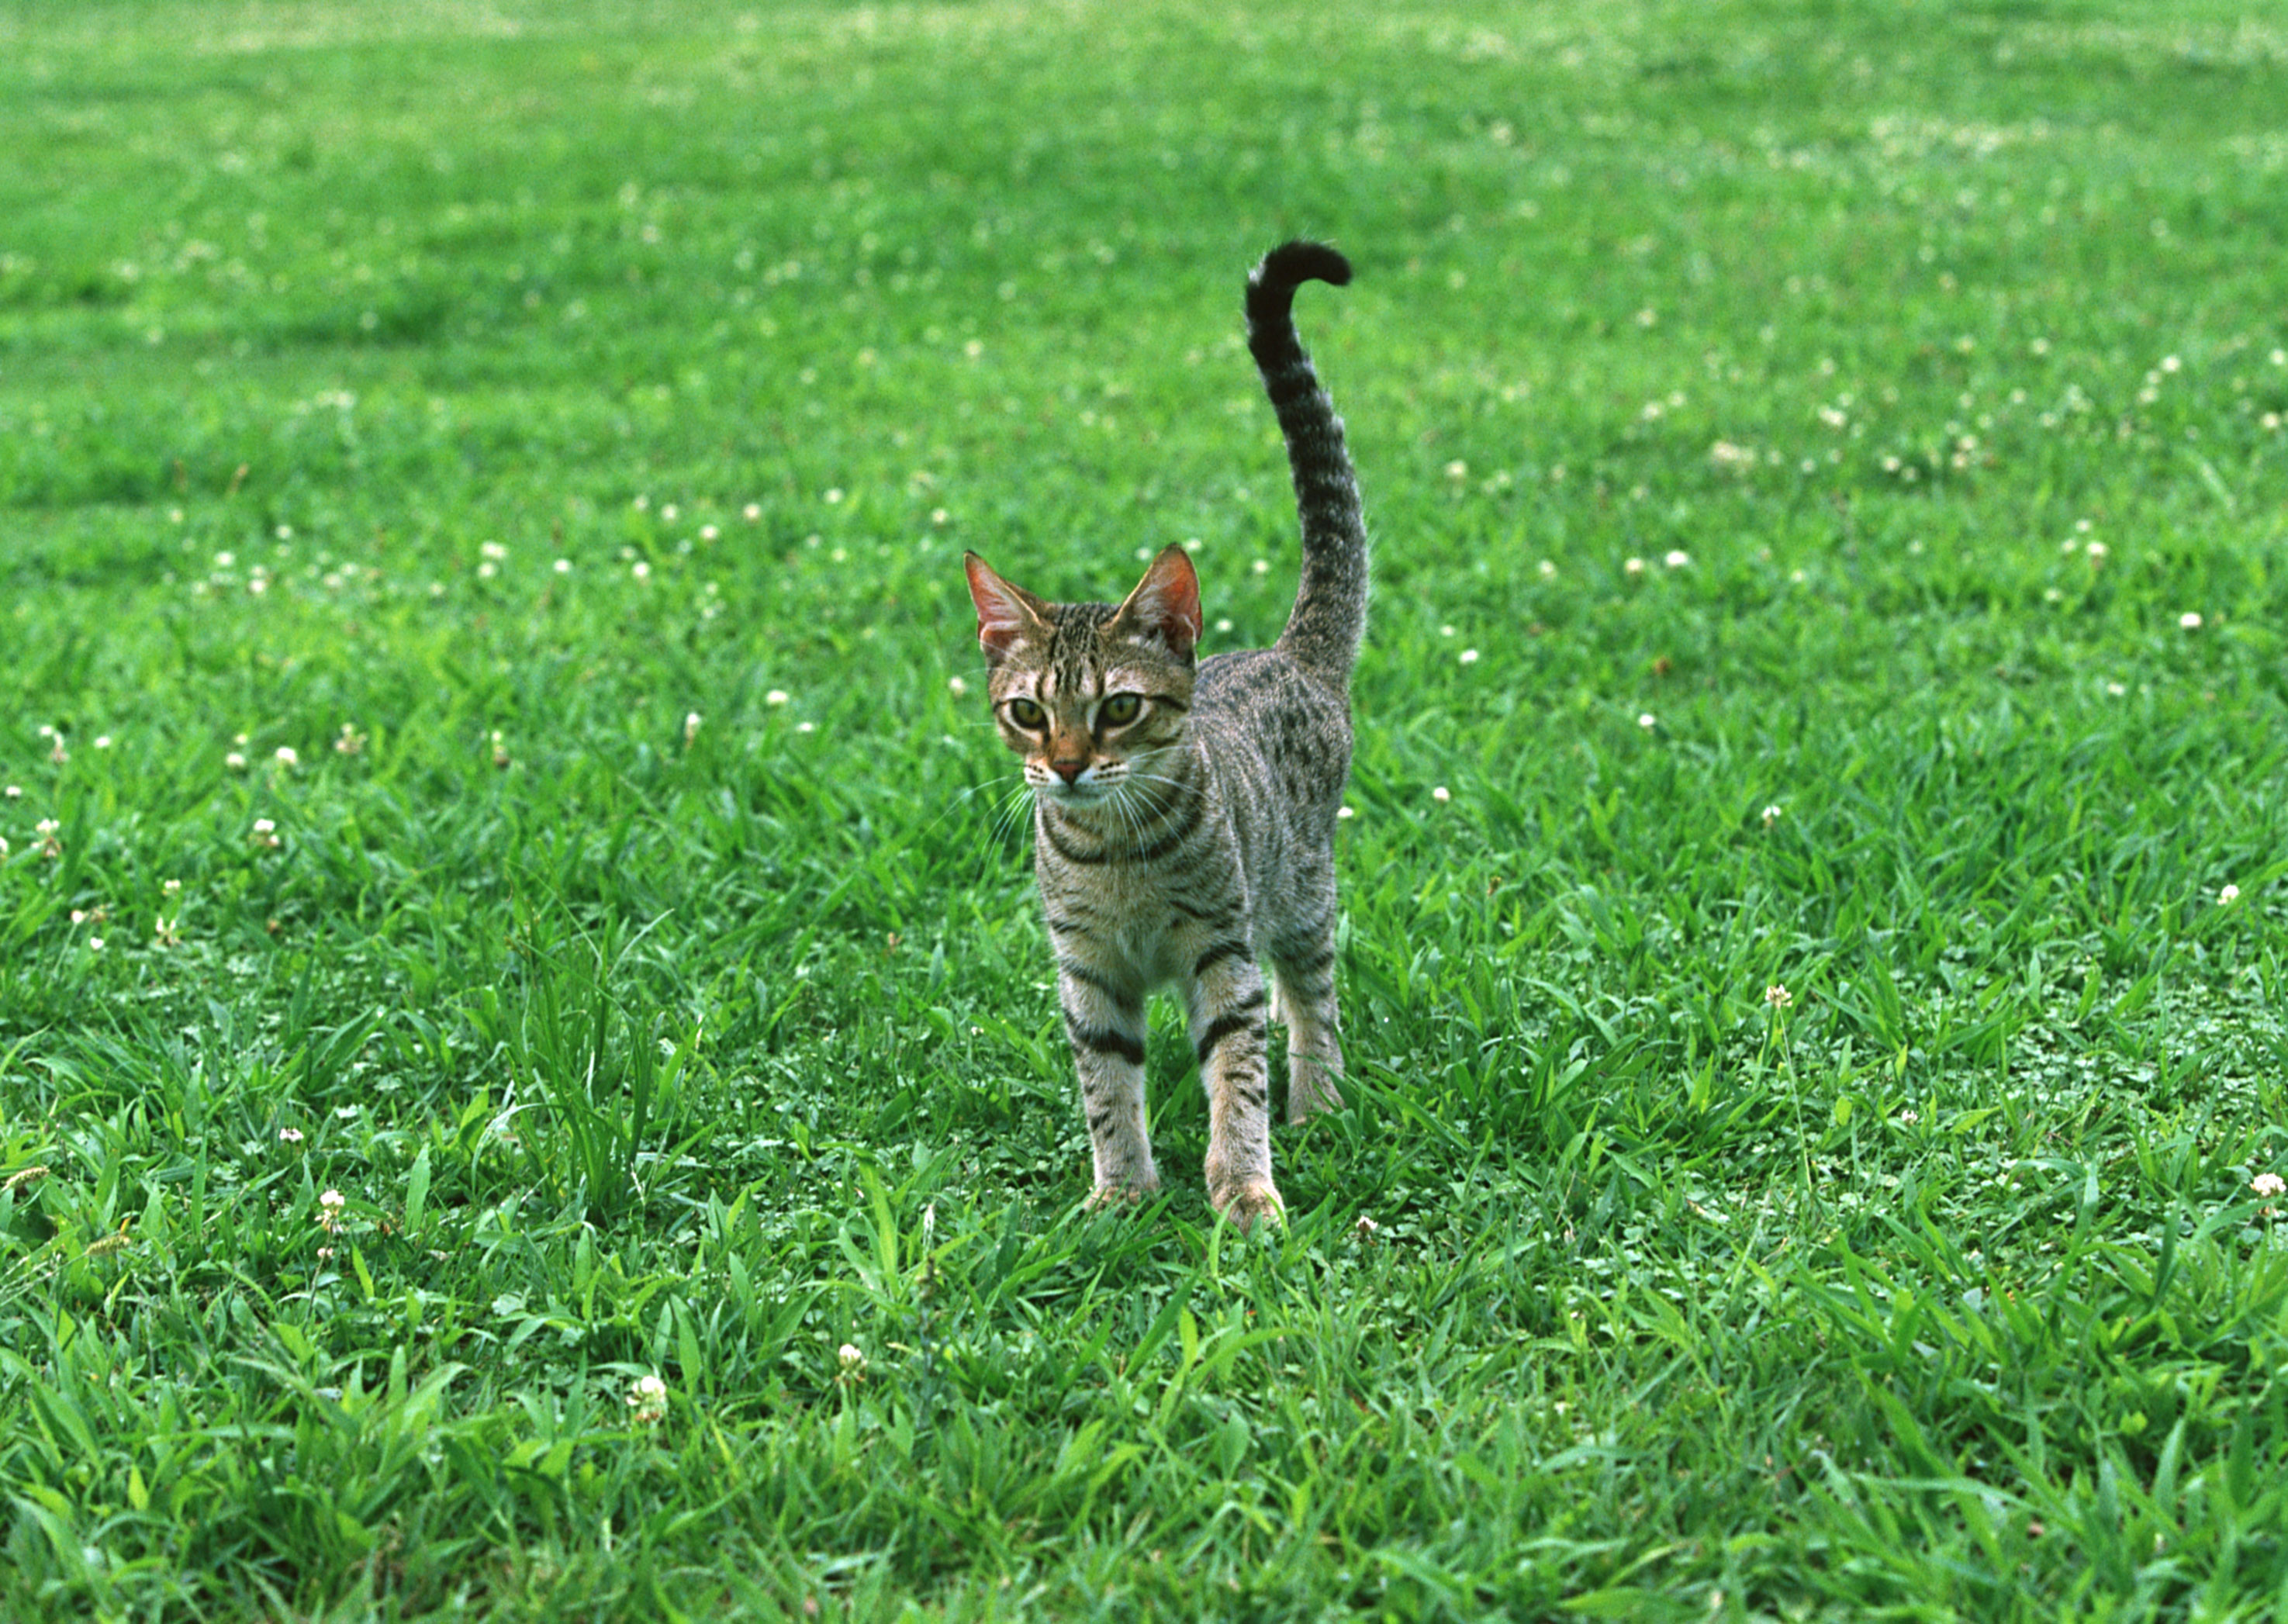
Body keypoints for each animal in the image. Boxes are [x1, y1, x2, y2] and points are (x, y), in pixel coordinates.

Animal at [961, 244, 1363, 1235]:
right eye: (1029, 713)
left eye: (1118, 709)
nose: (1067, 767)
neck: (1116, 858)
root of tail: (1288, 653)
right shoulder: (1088, 971)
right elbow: (1107, 1086)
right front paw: (1121, 1191)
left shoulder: (1221, 952)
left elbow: (1238, 1077)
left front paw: (1246, 1188)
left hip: (1300, 888)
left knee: (1312, 999)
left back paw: (1319, 1101)